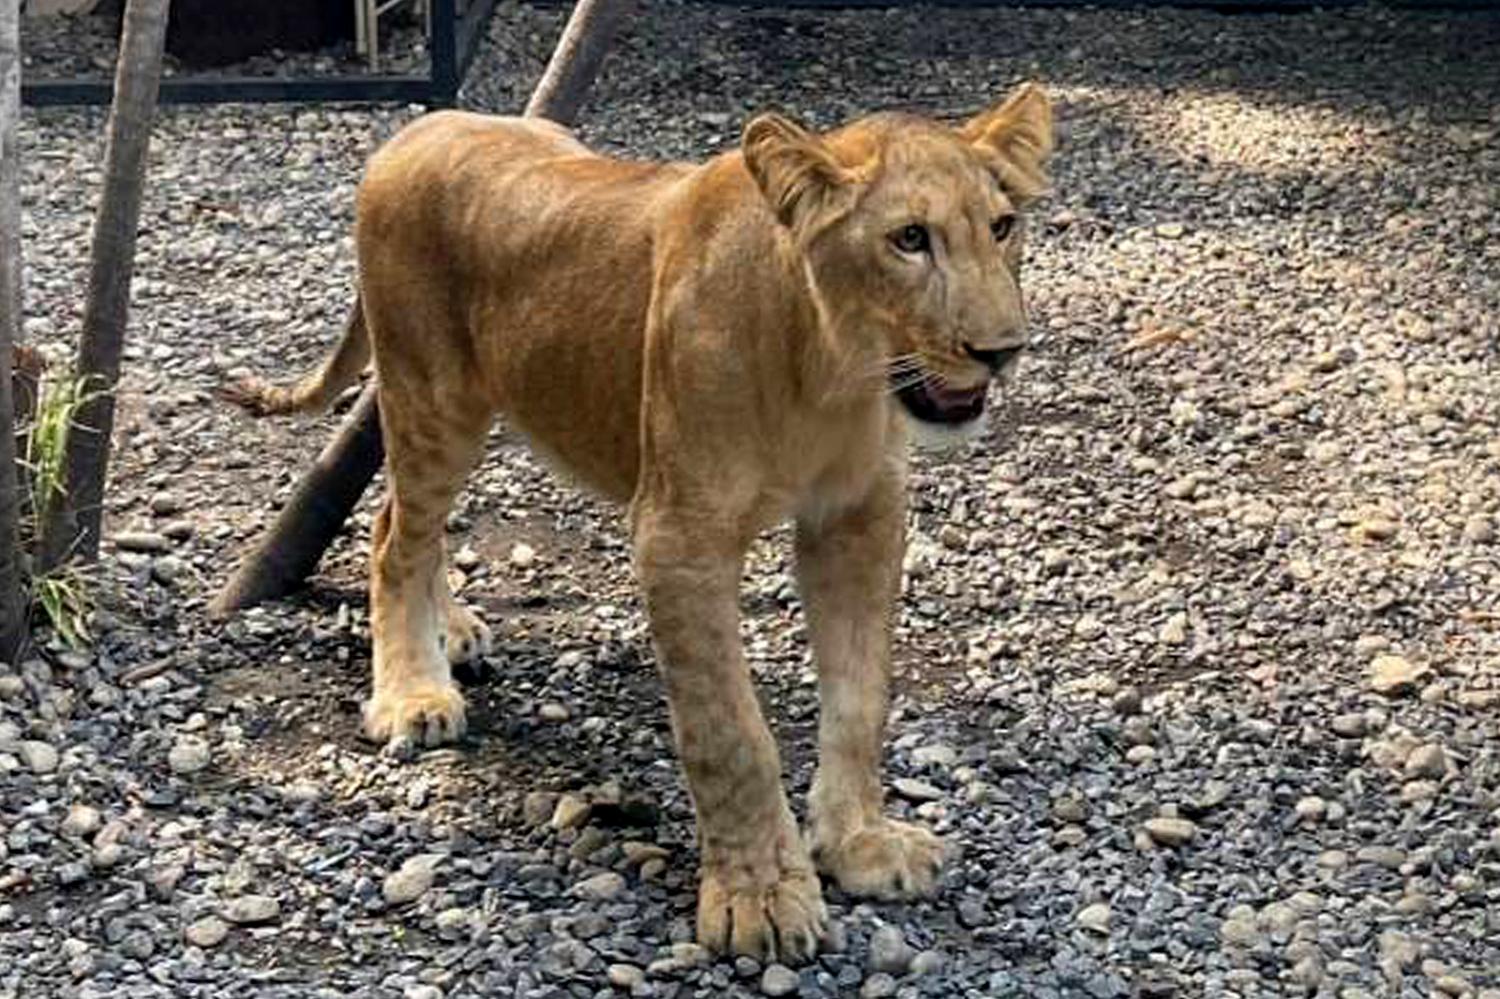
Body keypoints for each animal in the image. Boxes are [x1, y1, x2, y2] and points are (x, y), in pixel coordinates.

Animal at [231, 83, 1056, 960]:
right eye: (909, 239)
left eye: (1002, 225)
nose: (1003, 349)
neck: (831, 369)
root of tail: (420, 129)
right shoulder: (678, 533)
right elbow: (731, 731)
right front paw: (759, 897)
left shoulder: (861, 513)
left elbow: (861, 698)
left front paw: (859, 844)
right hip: (430, 394)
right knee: (395, 537)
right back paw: (414, 695)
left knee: (402, 518)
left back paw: (448, 633)